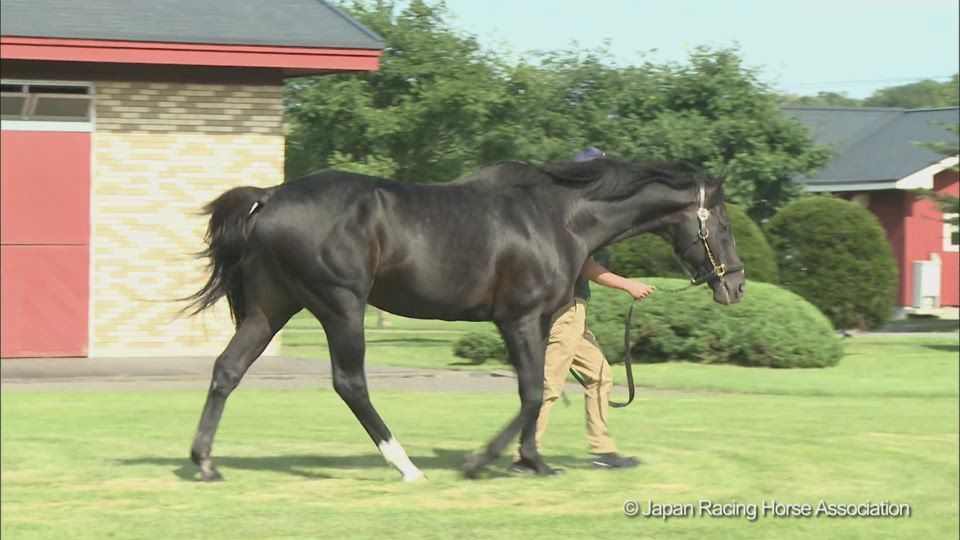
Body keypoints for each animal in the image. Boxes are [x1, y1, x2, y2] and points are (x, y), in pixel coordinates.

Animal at [184, 156, 748, 480]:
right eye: (723, 224)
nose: (737, 285)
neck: (559, 217)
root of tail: (270, 197)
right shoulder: (518, 318)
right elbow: (531, 392)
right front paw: (484, 462)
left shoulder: (541, 321)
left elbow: (543, 388)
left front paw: (534, 461)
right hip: (340, 304)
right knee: (350, 383)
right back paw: (405, 465)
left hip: (272, 307)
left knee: (227, 369)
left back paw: (206, 463)